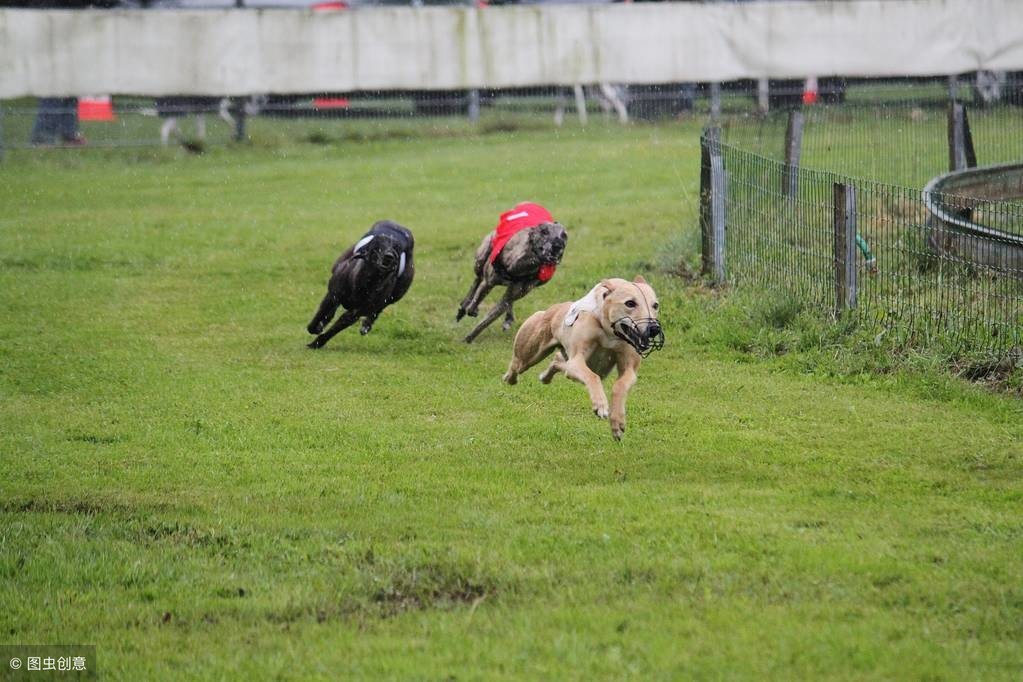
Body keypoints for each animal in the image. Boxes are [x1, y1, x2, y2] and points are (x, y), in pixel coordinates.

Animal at [304, 221, 413, 349]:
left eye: (396, 248)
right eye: (378, 245)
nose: (389, 256)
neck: (367, 282)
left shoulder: (355, 313)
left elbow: (336, 328)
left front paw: (317, 343)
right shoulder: (333, 295)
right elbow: (321, 314)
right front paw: (316, 327)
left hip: (395, 295)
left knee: (379, 309)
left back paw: (366, 325)